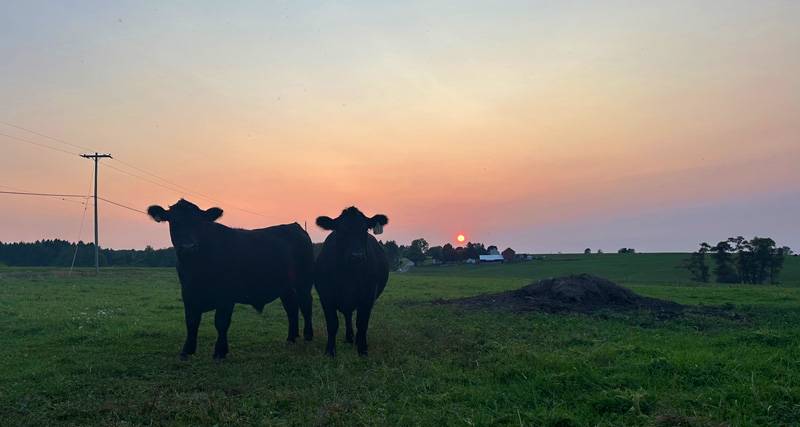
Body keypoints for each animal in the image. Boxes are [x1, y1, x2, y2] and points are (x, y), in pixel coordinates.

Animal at [148, 201, 314, 362]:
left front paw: (220, 351)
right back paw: (291, 338)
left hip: (304, 281)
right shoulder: (188, 293)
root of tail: (294, 226)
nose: (188, 247)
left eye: (200, 222)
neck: (197, 268)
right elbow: (191, 321)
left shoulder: (226, 296)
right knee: (291, 307)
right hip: (285, 287)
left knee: (305, 304)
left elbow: (221, 322)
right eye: (174, 221)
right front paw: (186, 351)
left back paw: (308, 335)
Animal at [314, 207, 390, 358]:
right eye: (341, 230)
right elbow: (332, 324)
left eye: (365, 229)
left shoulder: (368, 297)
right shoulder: (326, 296)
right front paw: (330, 351)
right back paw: (349, 338)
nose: (357, 256)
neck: (348, 275)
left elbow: (362, 324)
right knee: (347, 315)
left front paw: (362, 350)